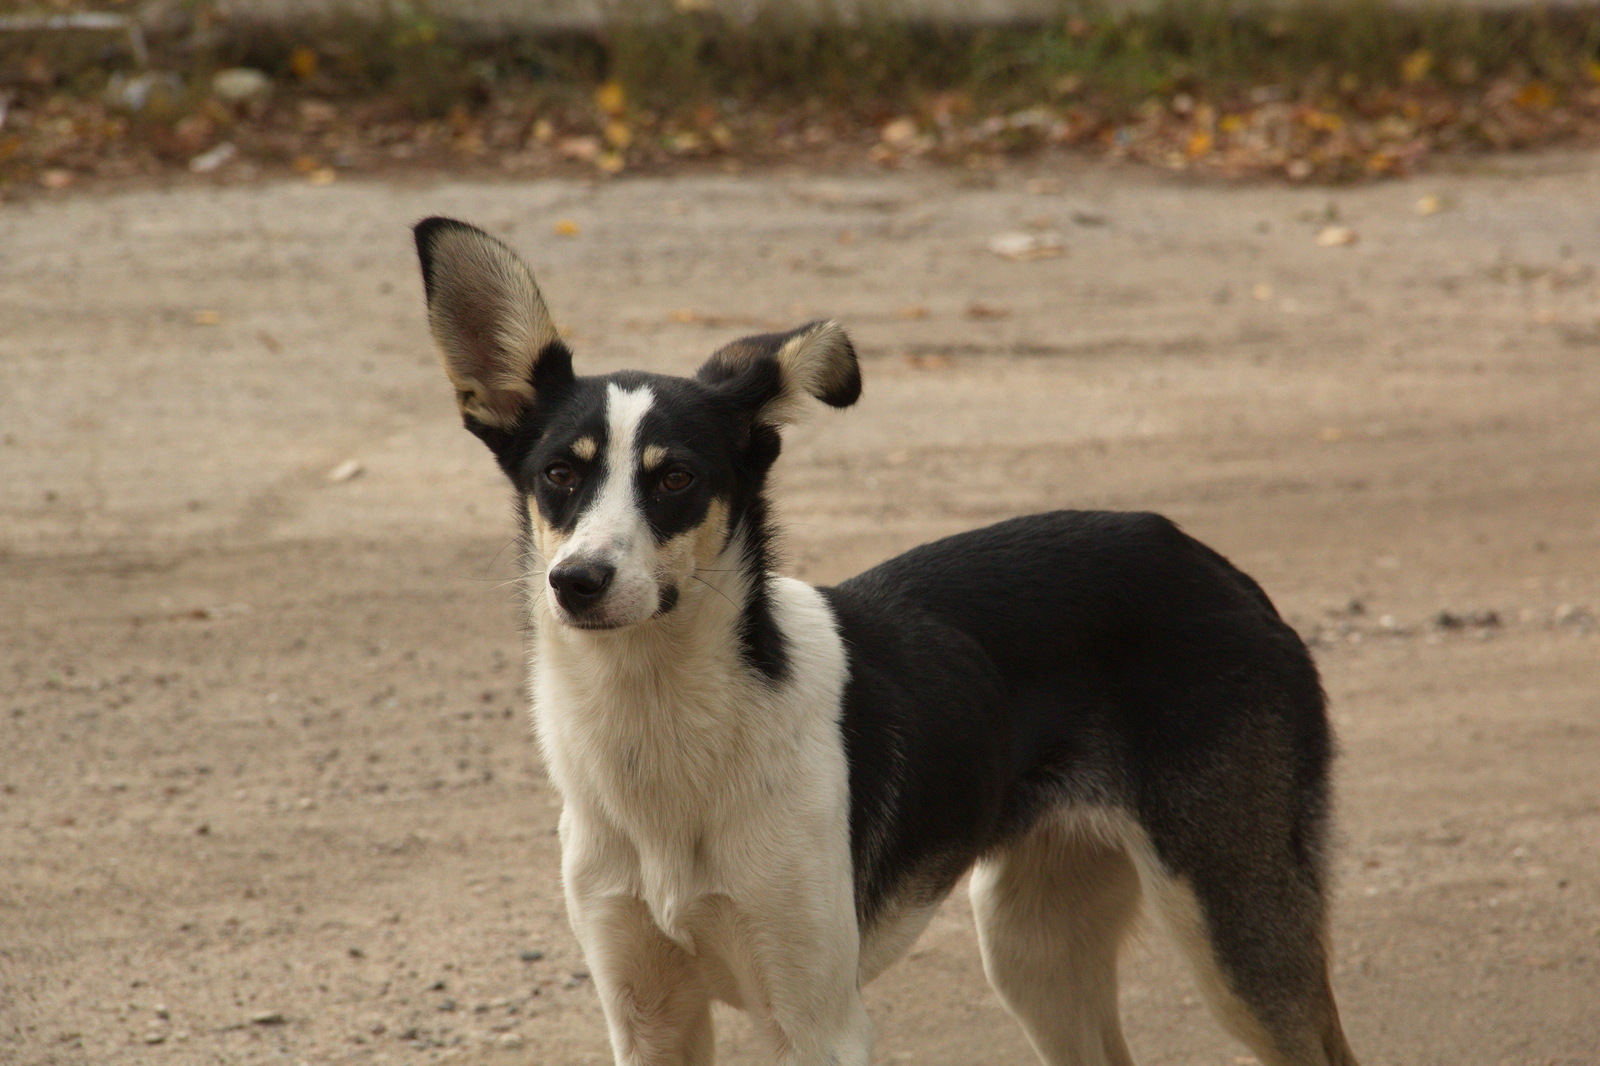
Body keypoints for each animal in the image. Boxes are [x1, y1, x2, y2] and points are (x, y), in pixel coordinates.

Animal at [412, 217, 1363, 1062]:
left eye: (675, 478)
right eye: (558, 475)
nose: (576, 582)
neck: (663, 731)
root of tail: (1213, 565)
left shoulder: (817, 1023)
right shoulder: (647, 1018)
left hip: (1233, 931)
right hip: (1032, 945)